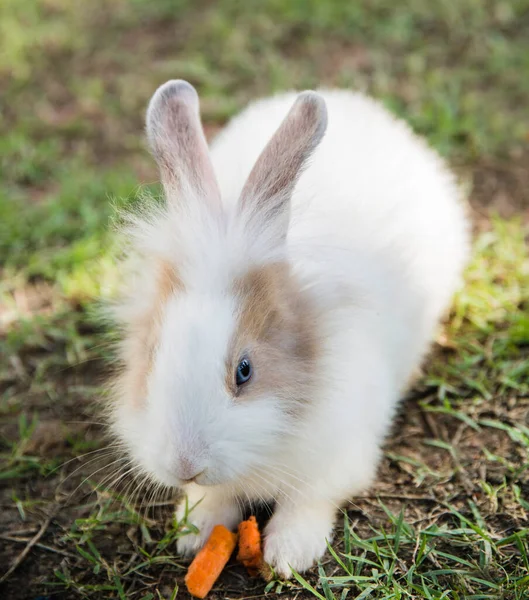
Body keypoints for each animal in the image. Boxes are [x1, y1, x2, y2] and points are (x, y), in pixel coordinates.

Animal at [108, 79, 470, 576]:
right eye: (151, 355)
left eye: (245, 371)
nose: (184, 463)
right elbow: (212, 497)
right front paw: (195, 533)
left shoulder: (337, 458)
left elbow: (309, 501)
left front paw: (288, 554)